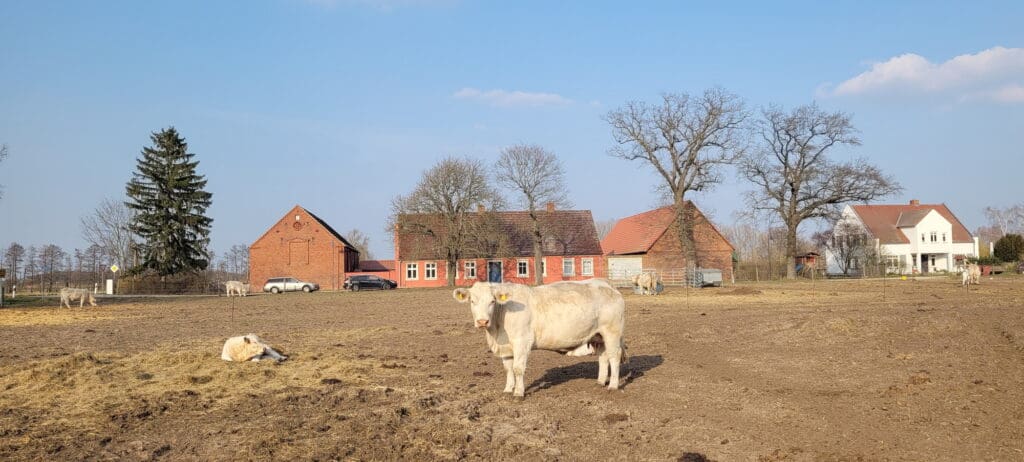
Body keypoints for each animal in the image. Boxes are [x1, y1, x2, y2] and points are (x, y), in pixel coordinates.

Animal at [454, 278, 626, 397]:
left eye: (492, 301)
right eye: (472, 301)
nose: (482, 321)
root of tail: (606, 284)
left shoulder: (522, 342)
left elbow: (518, 368)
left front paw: (518, 393)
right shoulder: (506, 347)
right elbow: (508, 368)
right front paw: (508, 389)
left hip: (612, 332)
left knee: (614, 356)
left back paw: (613, 385)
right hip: (599, 336)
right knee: (603, 357)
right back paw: (600, 382)